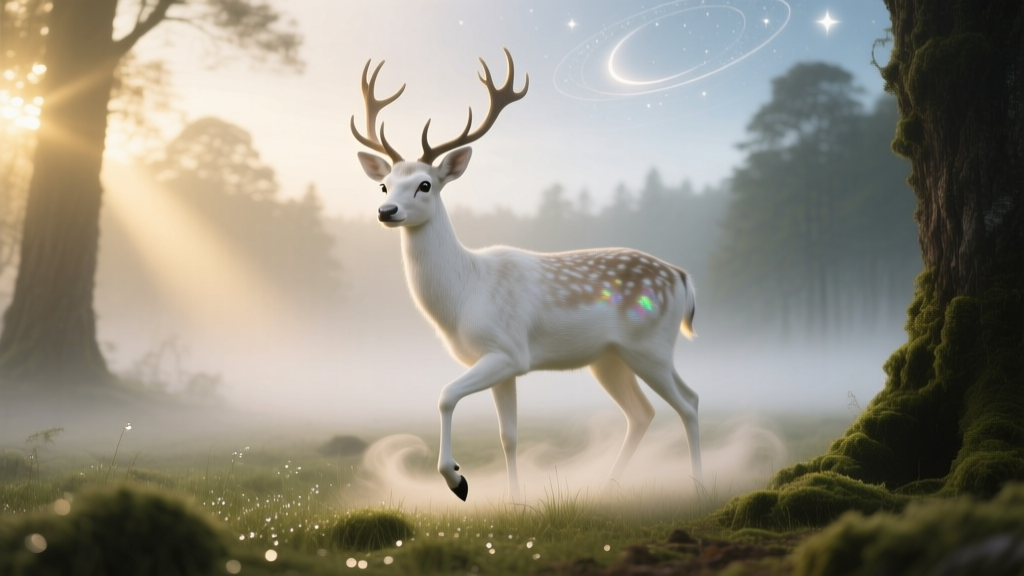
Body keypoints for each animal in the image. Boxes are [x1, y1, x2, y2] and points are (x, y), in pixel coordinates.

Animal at [352, 48, 702, 501]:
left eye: (425, 184)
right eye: (384, 185)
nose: (386, 211)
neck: (464, 297)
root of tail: (682, 277)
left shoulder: (508, 350)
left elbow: (445, 395)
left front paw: (458, 480)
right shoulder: (502, 364)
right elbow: (509, 436)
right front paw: (515, 500)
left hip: (650, 345)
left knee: (686, 403)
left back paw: (699, 486)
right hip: (612, 357)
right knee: (646, 411)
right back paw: (607, 488)